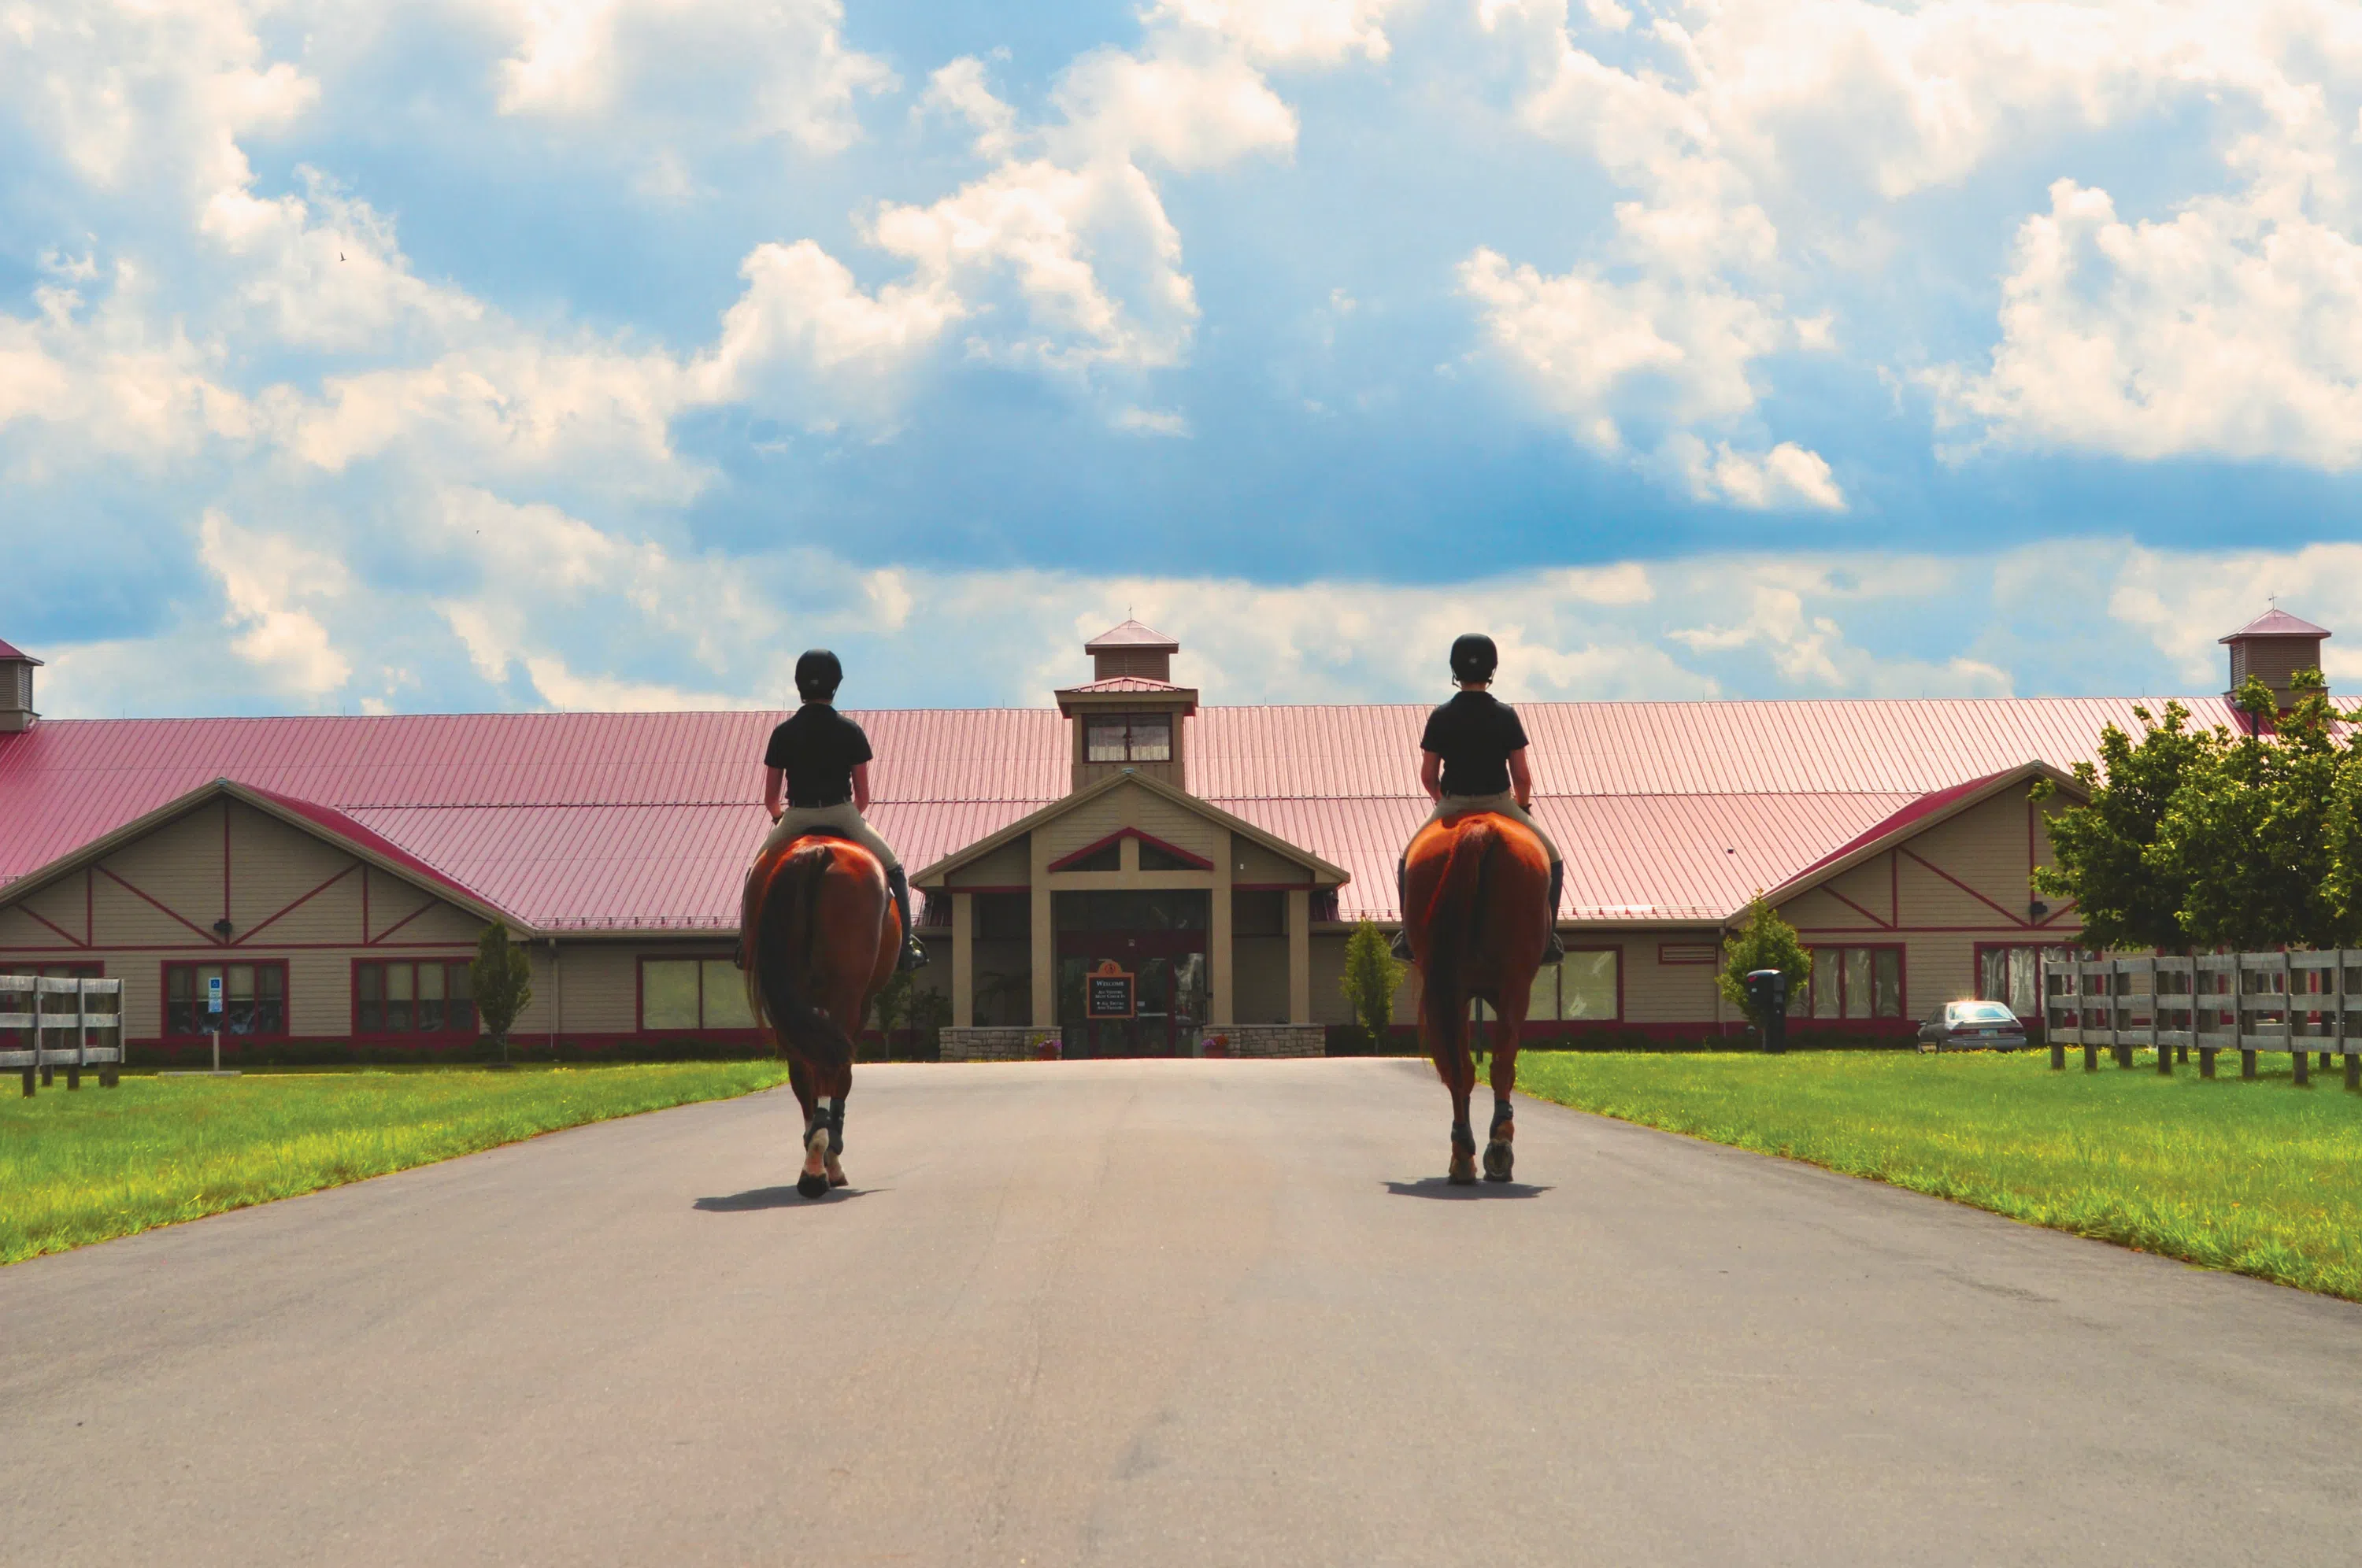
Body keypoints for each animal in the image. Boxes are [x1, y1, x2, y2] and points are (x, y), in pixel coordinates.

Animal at [742, 841, 898, 1195]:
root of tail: (818, 849)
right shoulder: (861, 1005)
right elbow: (843, 1078)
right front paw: (833, 1158)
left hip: (788, 1001)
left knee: (802, 1072)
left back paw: (812, 1160)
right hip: (846, 994)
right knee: (829, 1067)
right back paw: (818, 1165)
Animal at [1398, 812, 1549, 1181]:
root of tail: (1481, 824)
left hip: (1452, 991)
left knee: (1460, 1070)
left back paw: (1463, 1155)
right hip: (1515, 989)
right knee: (1501, 1066)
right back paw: (1499, 1148)